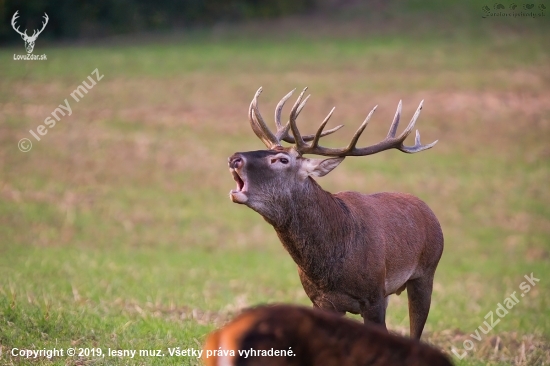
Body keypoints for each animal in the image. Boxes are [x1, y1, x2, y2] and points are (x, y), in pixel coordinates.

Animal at [229, 87, 444, 338]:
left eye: (282, 159)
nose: (234, 158)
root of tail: (428, 211)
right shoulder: (320, 301)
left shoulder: (375, 297)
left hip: (426, 272)